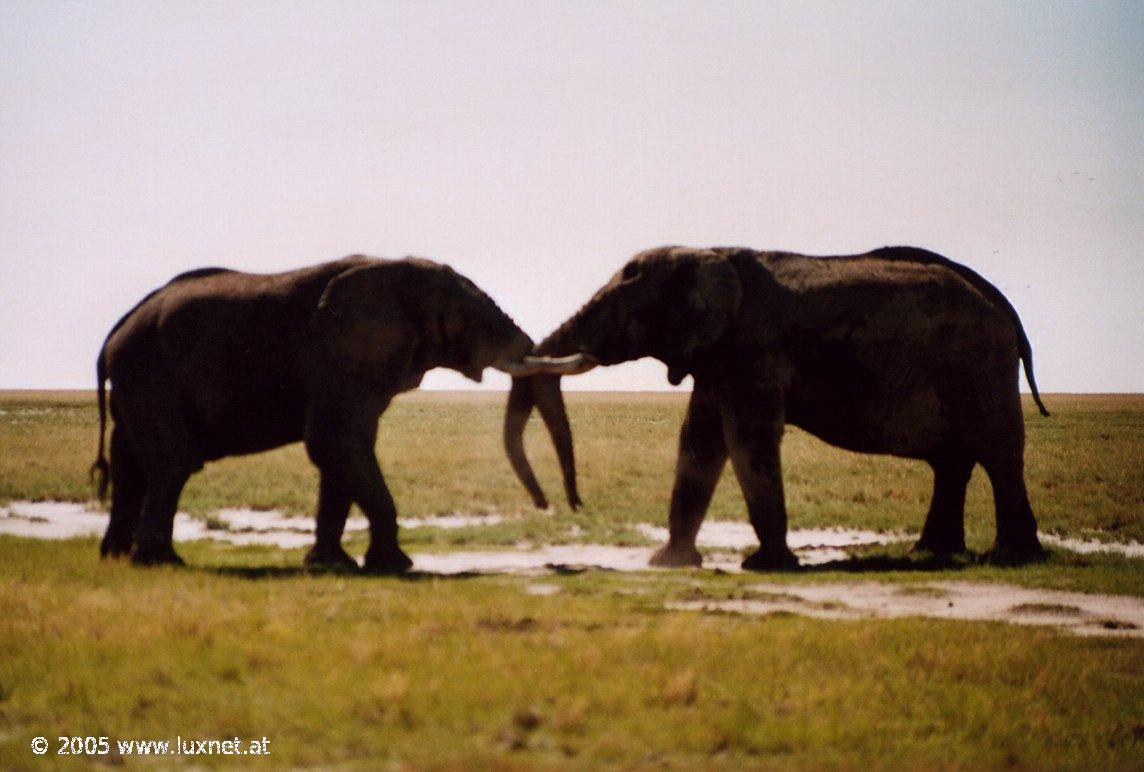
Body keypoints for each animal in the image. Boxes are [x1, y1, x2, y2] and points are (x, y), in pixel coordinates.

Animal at [90, 255, 581, 574]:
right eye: (470, 318)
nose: (551, 506)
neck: (396, 270)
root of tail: (117, 328)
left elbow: (342, 452)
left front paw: (331, 565)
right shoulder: (334, 358)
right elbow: (337, 442)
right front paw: (395, 566)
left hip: (136, 381)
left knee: (130, 462)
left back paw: (116, 556)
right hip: (149, 373)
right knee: (173, 462)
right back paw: (160, 562)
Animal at [510, 244, 1052, 571]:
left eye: (621, 312)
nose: (571, 503)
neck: (707, 251)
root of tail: (1007, 312)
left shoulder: (754, 348)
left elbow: (747, 437)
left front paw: (764, 566)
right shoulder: (718, 356)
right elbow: (699, 440)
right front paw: (668, 564)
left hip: (978, 364)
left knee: (998, 453)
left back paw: (1012, 558)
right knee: (954, 461)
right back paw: (932, 553)